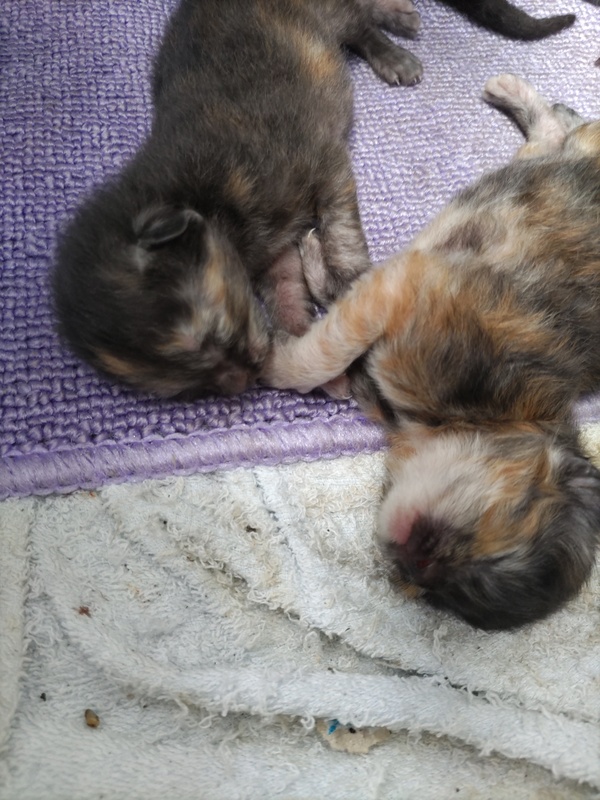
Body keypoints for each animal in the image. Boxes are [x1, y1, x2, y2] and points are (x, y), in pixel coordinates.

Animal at [53, 0, 422, 399]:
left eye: (215, 330)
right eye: (181, 386)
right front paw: (319, 361)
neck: (203, 197)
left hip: (327, 15)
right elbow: (287, 295)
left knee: (360, 26)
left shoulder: (322, 159)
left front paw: (348, 280)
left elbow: (340, 232)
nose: (245, 382)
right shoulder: (272, 257)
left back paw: (396, 54)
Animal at [263, 74, 600, 630]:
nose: (412, 562)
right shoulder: (410, 286)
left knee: (550, 138)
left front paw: (310, 266)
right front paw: (270, 362)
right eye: (511, 515)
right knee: (565, 132)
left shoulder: (394, 289)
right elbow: (323, 351)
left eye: (441, 595)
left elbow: (340, 302)